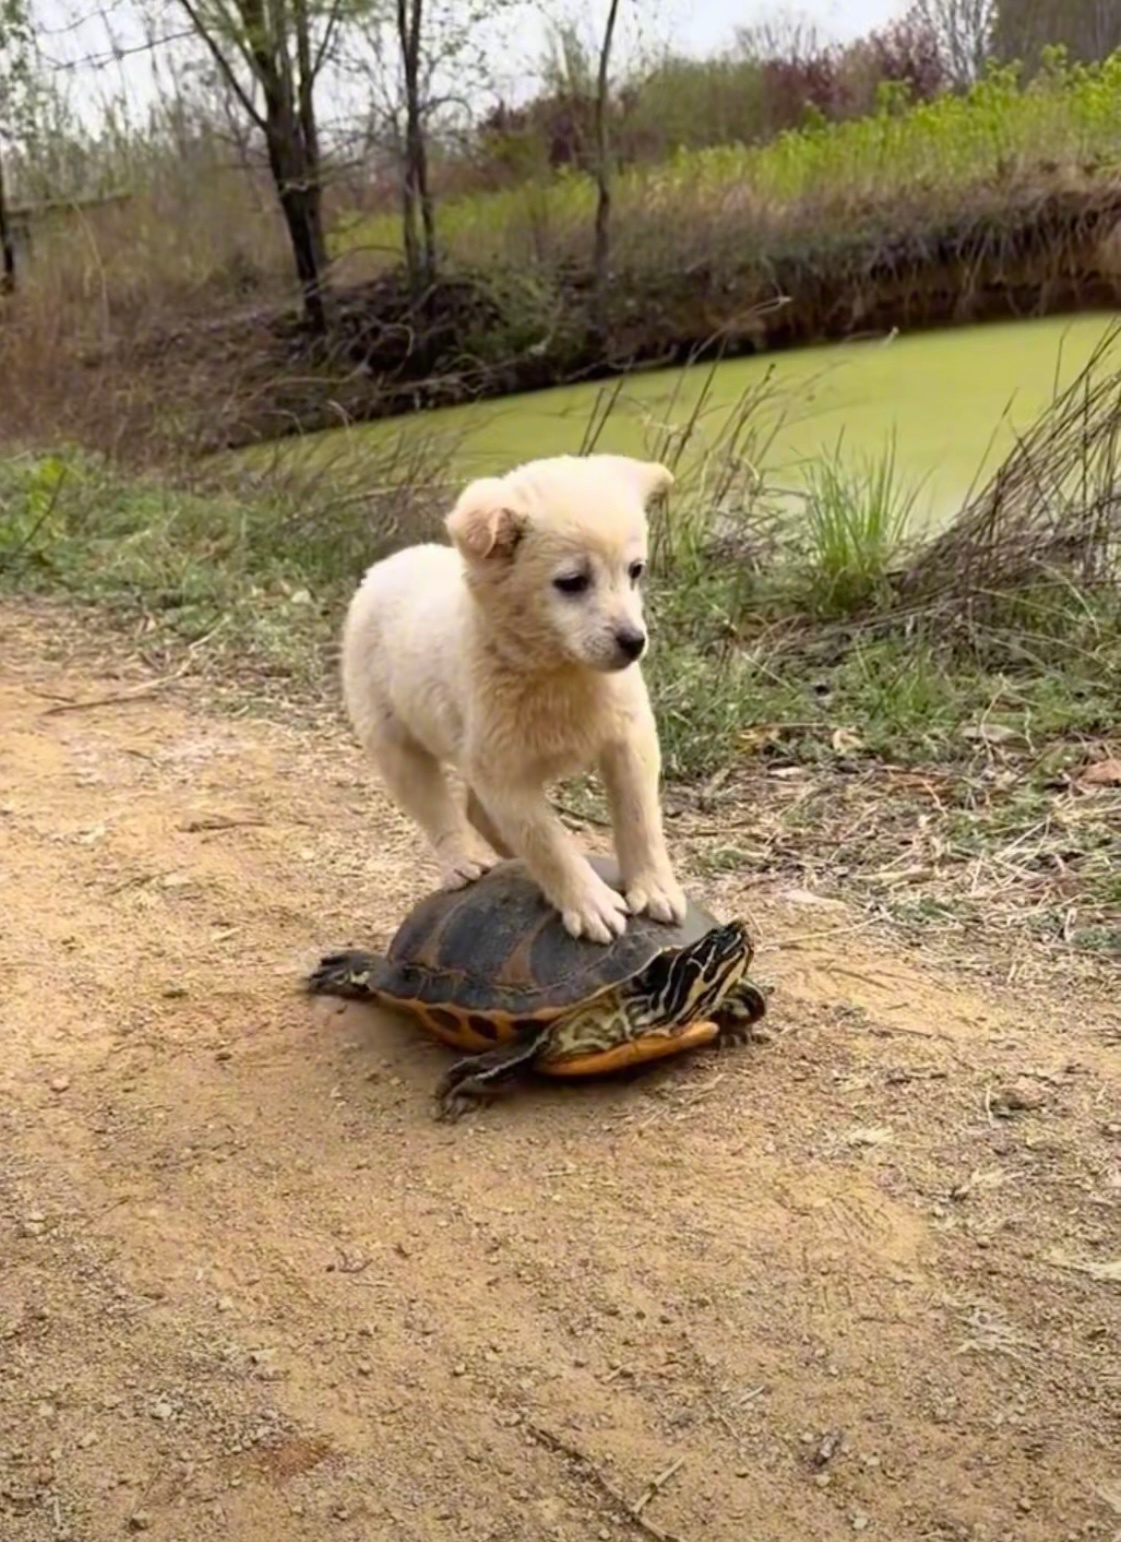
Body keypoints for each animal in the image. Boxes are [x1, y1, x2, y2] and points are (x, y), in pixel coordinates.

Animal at [342, 450, 687, 943]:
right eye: (572, 581)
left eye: (635, 570)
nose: (634, 642)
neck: (557, 672)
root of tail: (387, 565)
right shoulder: (504, 774)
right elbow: (547, 841)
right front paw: (591, 904)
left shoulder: (629, 739)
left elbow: (640, 817)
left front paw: (655, 887)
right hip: (392, 737)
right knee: (435, 806)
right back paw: (465, 861)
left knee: (479, 813)